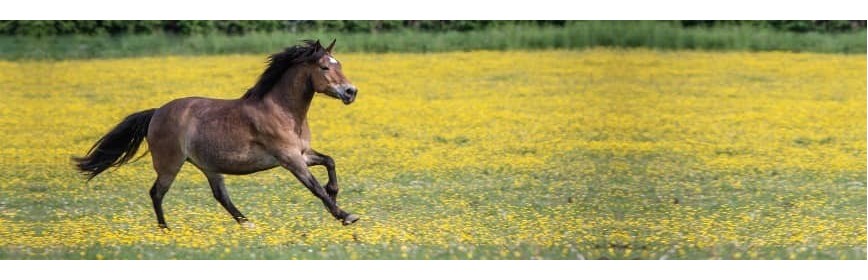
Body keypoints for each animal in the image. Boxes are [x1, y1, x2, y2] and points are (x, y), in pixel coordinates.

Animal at [73, 38, 362, 228]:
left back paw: (247, 224)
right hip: (170, 165)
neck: (283, 111)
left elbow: (330, 162)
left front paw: (335, 193)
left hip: (209, 166)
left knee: (220, 196)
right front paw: (346, 215)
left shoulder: (303, 153)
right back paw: (166, 230)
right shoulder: (290, 159)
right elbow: (315, 188)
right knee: (157, 193)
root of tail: (156, 113)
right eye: (324, 67)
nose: (351, 92)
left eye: (339, 64)